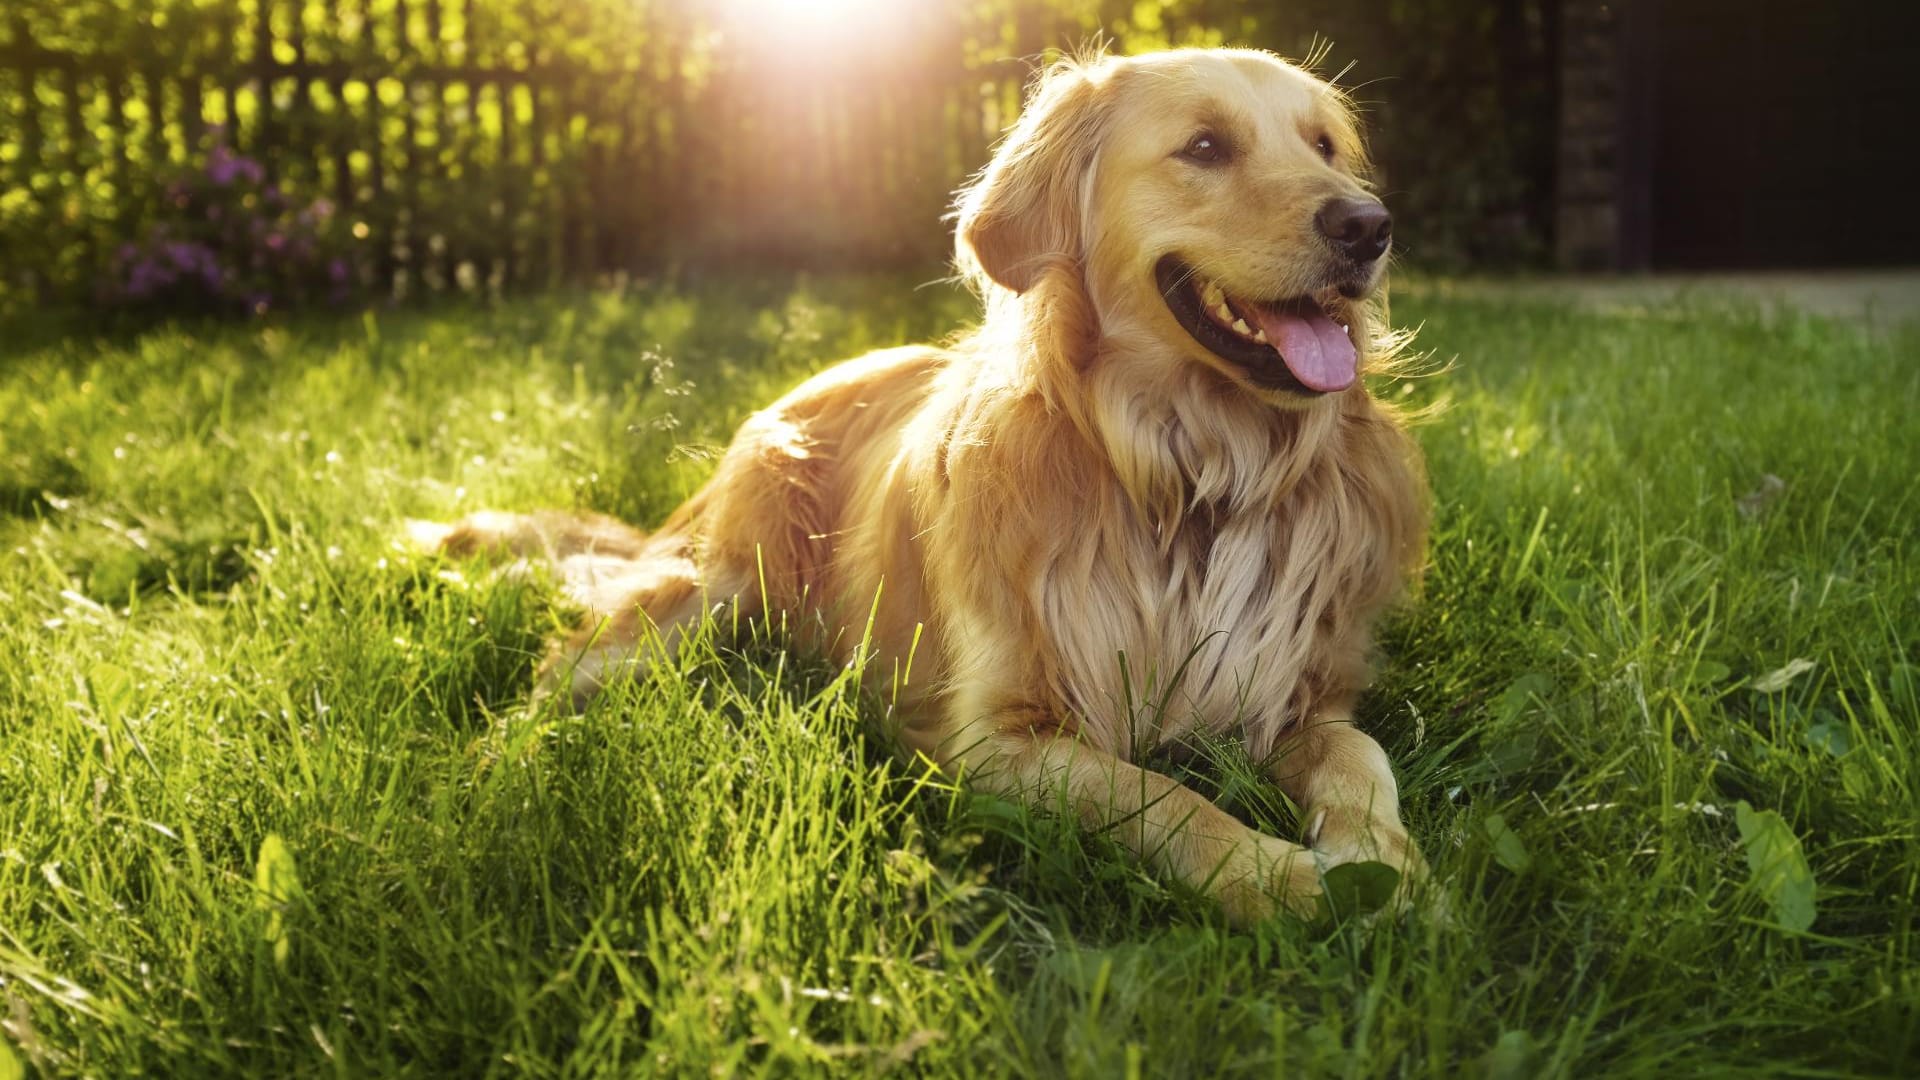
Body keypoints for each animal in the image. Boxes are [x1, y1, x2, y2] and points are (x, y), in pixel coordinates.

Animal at [416, 50, 1428, 922]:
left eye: (1324, 145)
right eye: (1207, 147)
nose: (1369, 227)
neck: (1190, 477)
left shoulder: (1297, 691)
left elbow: (1359, 755)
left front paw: (1384, 864)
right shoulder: (997, 738)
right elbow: (1161, 796)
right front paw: (1282, 880)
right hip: (711, 590)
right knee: (557, 674)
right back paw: (489, 779)